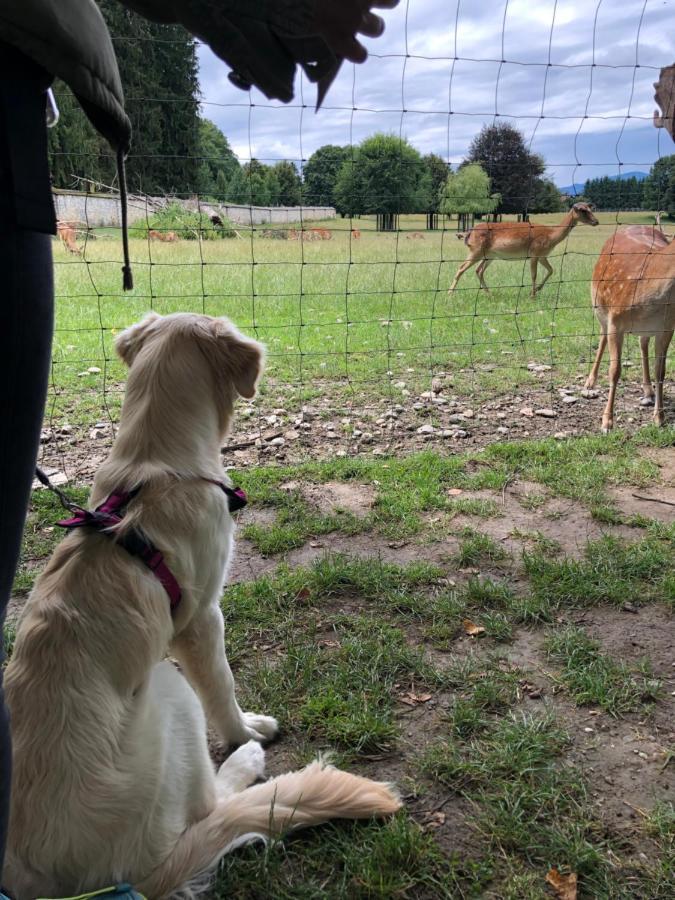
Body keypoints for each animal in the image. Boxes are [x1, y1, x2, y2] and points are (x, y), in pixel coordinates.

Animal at [2, 312, 398, 896]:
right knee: (212, 809)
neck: (155, 465)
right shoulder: (202, 617)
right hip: (168, 689)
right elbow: (222, 684)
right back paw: (247, 761)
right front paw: (242, 732)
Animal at [448, 202, 604, 298]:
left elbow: (551, 270)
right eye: (582, 210)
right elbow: (534, 274)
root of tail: (468, 233)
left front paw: (537, 290)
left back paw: (489, 294)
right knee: (461, 267)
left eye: (590, 209)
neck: (551, 236)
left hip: (490, 256)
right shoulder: (535, 253)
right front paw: (532, 295)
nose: (596, 221)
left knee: (478, 270)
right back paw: (450, 294)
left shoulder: (542, 255)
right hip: (476, 251)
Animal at [588, 229, 675, 432]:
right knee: (602, 336)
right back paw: (590, 382)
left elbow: (661, 371)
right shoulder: (616, 321)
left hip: (645, 329)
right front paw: (607, 421)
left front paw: (659, 417)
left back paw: (648, 390)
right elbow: (615, 371)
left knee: (642, 342)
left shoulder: (667, 328)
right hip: (599, 306)